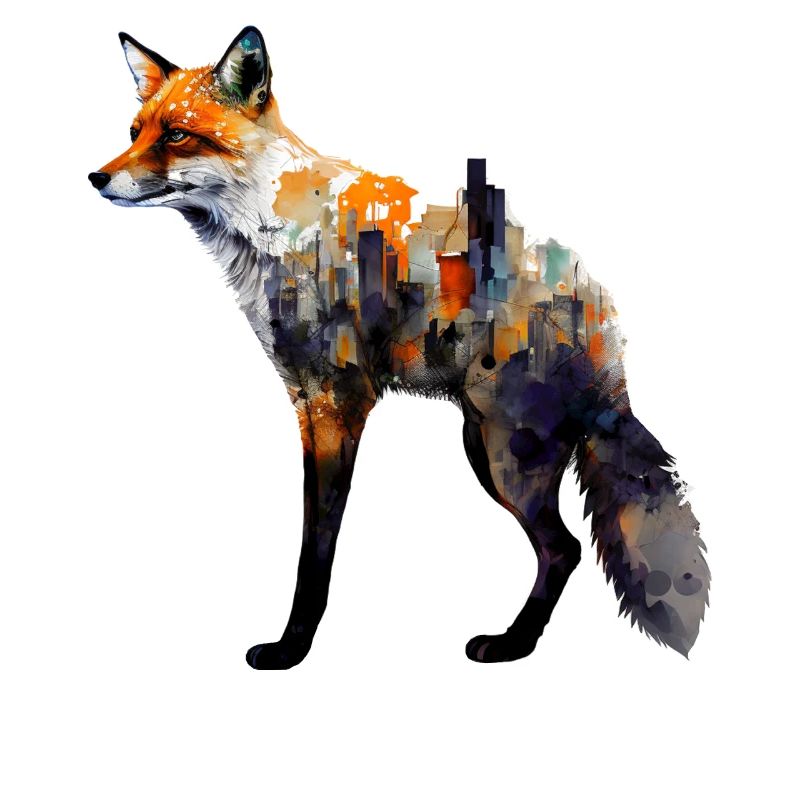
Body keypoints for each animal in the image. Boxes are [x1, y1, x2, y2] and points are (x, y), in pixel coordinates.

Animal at [89, 26, 708, 669]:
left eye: (177, 135)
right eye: (135, 133)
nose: (96, 178)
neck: (273, 231)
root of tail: (599, 309)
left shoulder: (338, 402)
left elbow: (316, 549)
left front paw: (292, 648)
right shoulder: (305, 400)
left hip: (503, 456)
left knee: (563, 547)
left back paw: (512, 644)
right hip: (486, 446)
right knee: (562, 550)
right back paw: (517, 641)